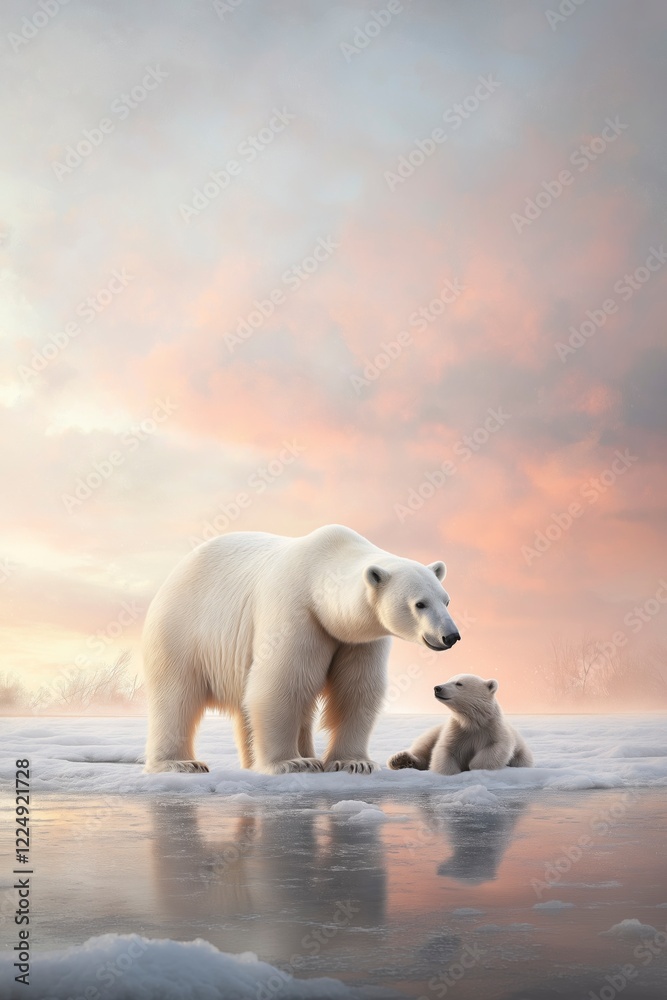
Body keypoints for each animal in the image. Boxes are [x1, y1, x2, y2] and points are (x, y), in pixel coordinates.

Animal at [142, 524, 461, 775]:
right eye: (420, 603)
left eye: (445, 600)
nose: (451, 636)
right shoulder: (296, 613)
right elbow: (281, 683)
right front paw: (291, 763)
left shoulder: (359, 638)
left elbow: (357, 689)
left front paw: (354, 763)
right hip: (183, 630)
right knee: (177, 696)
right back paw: (181, 764)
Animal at [387, 673, 532, 774]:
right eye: (448, 679)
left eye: (459, 683)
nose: (437, 688)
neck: (472, 721)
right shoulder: (456, 730)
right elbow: (444, 750)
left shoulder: (493, 728)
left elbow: (497, 747)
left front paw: (474, 766)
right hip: (435, 731)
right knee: (423, 746)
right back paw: (400, 760)